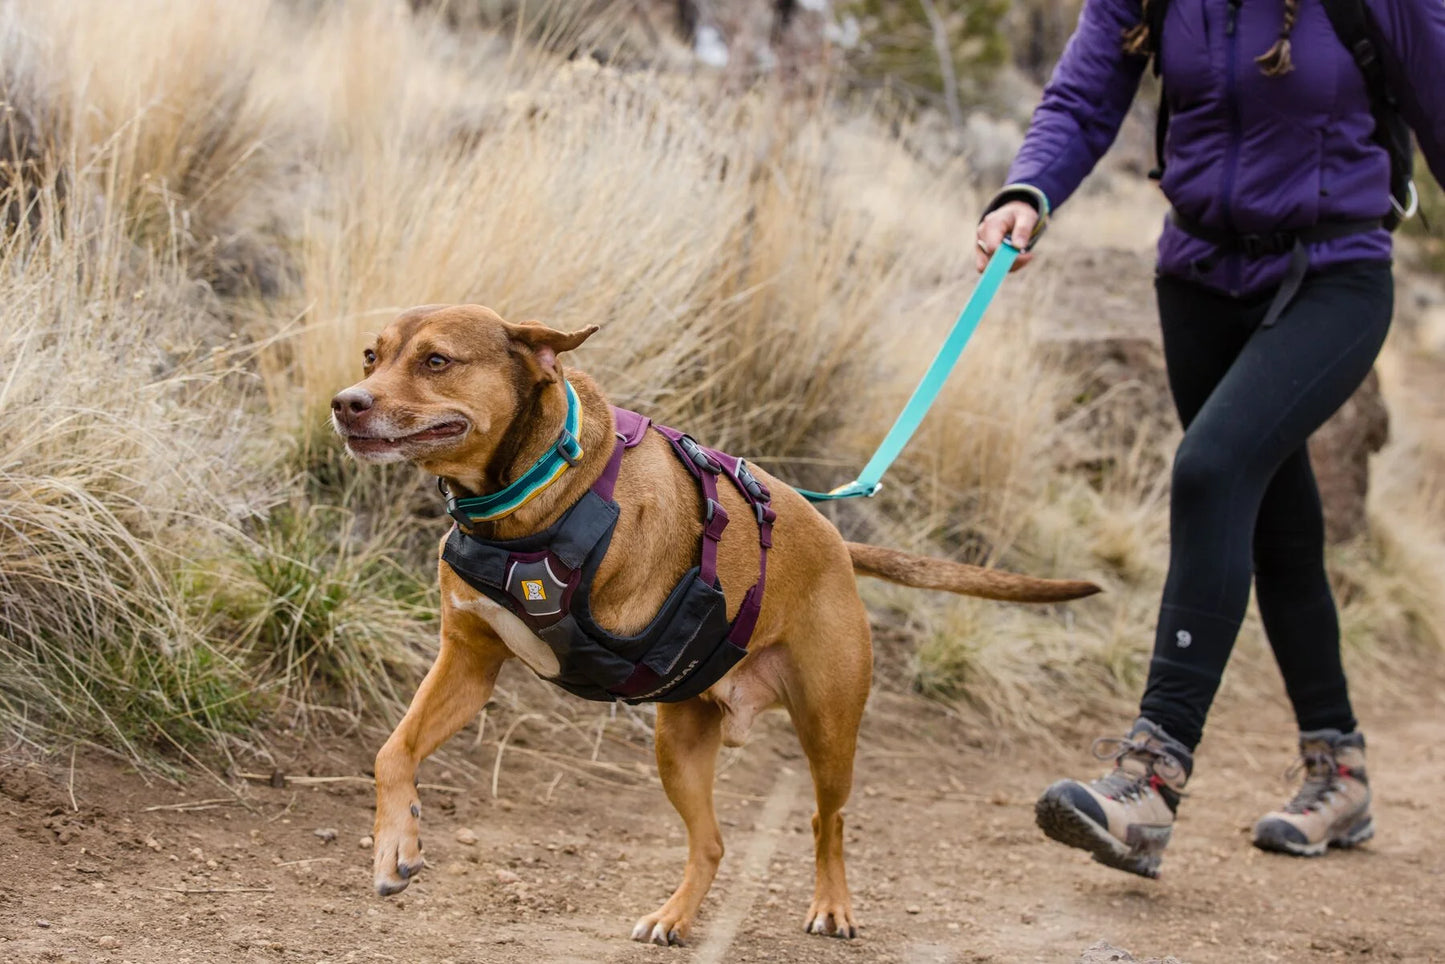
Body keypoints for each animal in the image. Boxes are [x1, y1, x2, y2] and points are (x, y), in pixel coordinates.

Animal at [332, 304, 1098, 948]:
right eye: (371, 354)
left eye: (436, 360)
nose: (346, 402)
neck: (523, 494)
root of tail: (837, 544)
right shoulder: (467, 662)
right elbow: (393, 752)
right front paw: (395, 845)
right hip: (679, 742)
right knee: (712, 843)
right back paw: (674, 917)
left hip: (828, 730)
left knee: (827, 820)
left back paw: (832, 906)